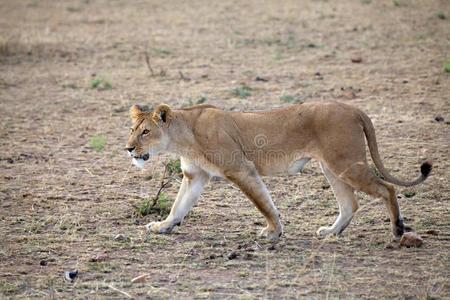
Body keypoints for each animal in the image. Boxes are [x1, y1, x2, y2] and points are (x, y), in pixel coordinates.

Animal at [125, 102, 430, 238]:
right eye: (132, 129)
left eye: (146, 132)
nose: (128, 149)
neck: (183, 137)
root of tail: (352, 108)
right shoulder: (194, 176)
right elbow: (179, 206)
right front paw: (163, 226)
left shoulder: (242, 169)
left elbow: (263, 203)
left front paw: (273, 231)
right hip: (332, 167)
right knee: (350, 204)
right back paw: (331, 232)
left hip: (345, 164)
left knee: (386, 188)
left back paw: (398, 228)